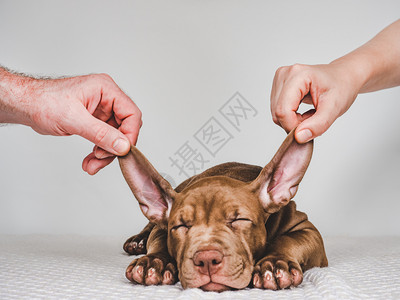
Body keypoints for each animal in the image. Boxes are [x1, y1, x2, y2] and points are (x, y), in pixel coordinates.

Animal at [118, 130, 328, 292]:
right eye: (180, 226)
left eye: (239, 220)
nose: (207, 260)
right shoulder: (162, 228)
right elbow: (160, 240)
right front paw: (154, 262)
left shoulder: (307, 230)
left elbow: (287, 240)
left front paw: (274, 263)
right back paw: (138, 241)